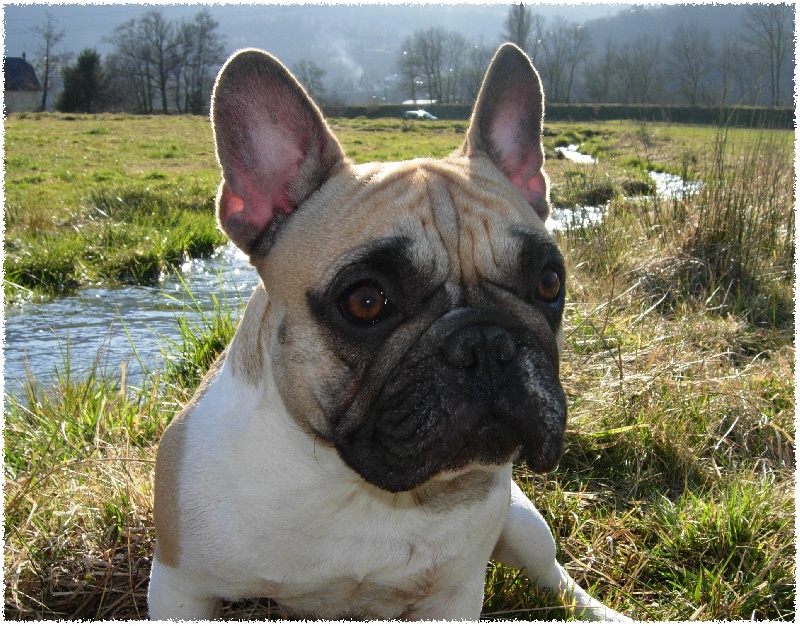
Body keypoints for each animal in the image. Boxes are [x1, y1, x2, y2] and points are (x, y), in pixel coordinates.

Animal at [147, 44, 628, 620]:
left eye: (549, 282)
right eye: (365, 302)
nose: (487, 344)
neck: (356, 487)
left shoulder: (454, 593)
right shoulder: (181, 585)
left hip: (523, 524)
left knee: (556, 578)